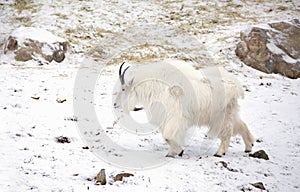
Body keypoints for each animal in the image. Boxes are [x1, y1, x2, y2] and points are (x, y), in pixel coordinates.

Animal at [113, 60, 254, 158]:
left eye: (123, 89)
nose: (115, 104)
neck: (155, 86)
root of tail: (235, 85)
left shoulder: (175, 117)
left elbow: (167, 136)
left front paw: (178, 151)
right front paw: (173, 153)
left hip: (221, 116)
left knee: (228, 131)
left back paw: (219, 152)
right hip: (227, 113)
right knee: (241, 125)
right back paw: (249, 146)